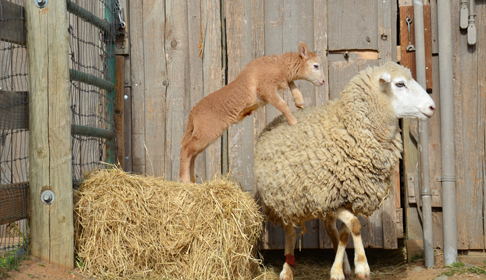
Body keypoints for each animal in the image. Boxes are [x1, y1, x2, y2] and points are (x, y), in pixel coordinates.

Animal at [180, 40, 324, 183]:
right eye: (316, 66)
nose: (323, 81)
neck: (279, 65)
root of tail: (193, 112)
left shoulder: (279, 81)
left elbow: (292, 84)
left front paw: (299, 101)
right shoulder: (266, 89)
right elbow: (283, 105)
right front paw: (294, 122)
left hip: (204, 133)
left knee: (192, 153)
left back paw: (192, 181)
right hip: (208, 130)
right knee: (186, 148)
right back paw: (185, 180)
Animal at [254, 61, 436, 280]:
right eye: (400, 84)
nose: (432, 107)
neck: (349, 127)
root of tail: (274, 121)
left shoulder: (348, 198)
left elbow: (345, 233)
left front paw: (339, 270)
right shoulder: (329, 198)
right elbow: (355, 226)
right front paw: (362, 266)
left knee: (331, 230)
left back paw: (342, 266)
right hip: (286, 197)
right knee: (290, 232)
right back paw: (287, 269)